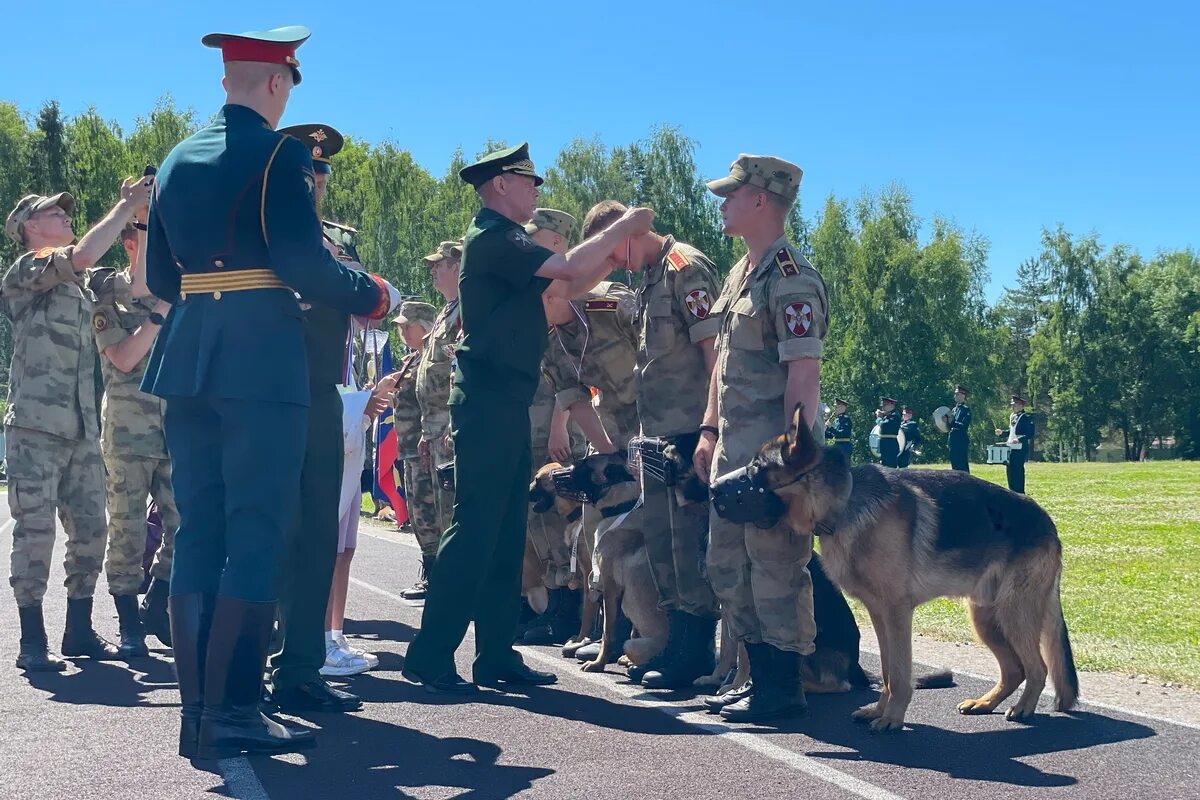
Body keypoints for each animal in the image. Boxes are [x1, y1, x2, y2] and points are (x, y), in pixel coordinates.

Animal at [744, 407, 1084, 734]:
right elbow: (887, 671)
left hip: (1013, 614)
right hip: (985, 618)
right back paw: (985, 703)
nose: (727, 485)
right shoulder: (879, 615)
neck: (844, 501)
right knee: (1015, 669)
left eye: (756, 467)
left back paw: (1023, 708)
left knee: (1037, 668)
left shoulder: (897, 613)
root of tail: (1048, 523)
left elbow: (899, 673)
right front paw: (880, 710)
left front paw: (893, 718)